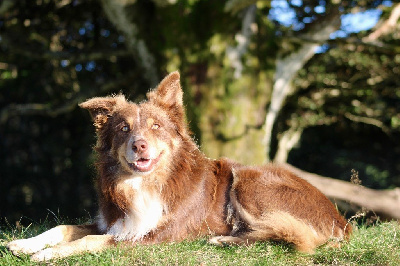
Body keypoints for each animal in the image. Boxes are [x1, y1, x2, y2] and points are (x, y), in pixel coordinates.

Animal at [6, 71, 350, 262]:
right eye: (124, 129)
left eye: (156, 127)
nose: (139, 145)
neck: (142, 184)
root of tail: (342, 222)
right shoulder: (114, 222)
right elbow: (65, 227)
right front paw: (25, 244)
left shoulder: (152, 235)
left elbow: (90, 240)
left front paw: (46, 254)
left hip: (249, 180)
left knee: (295, 235)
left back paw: (225, 239)